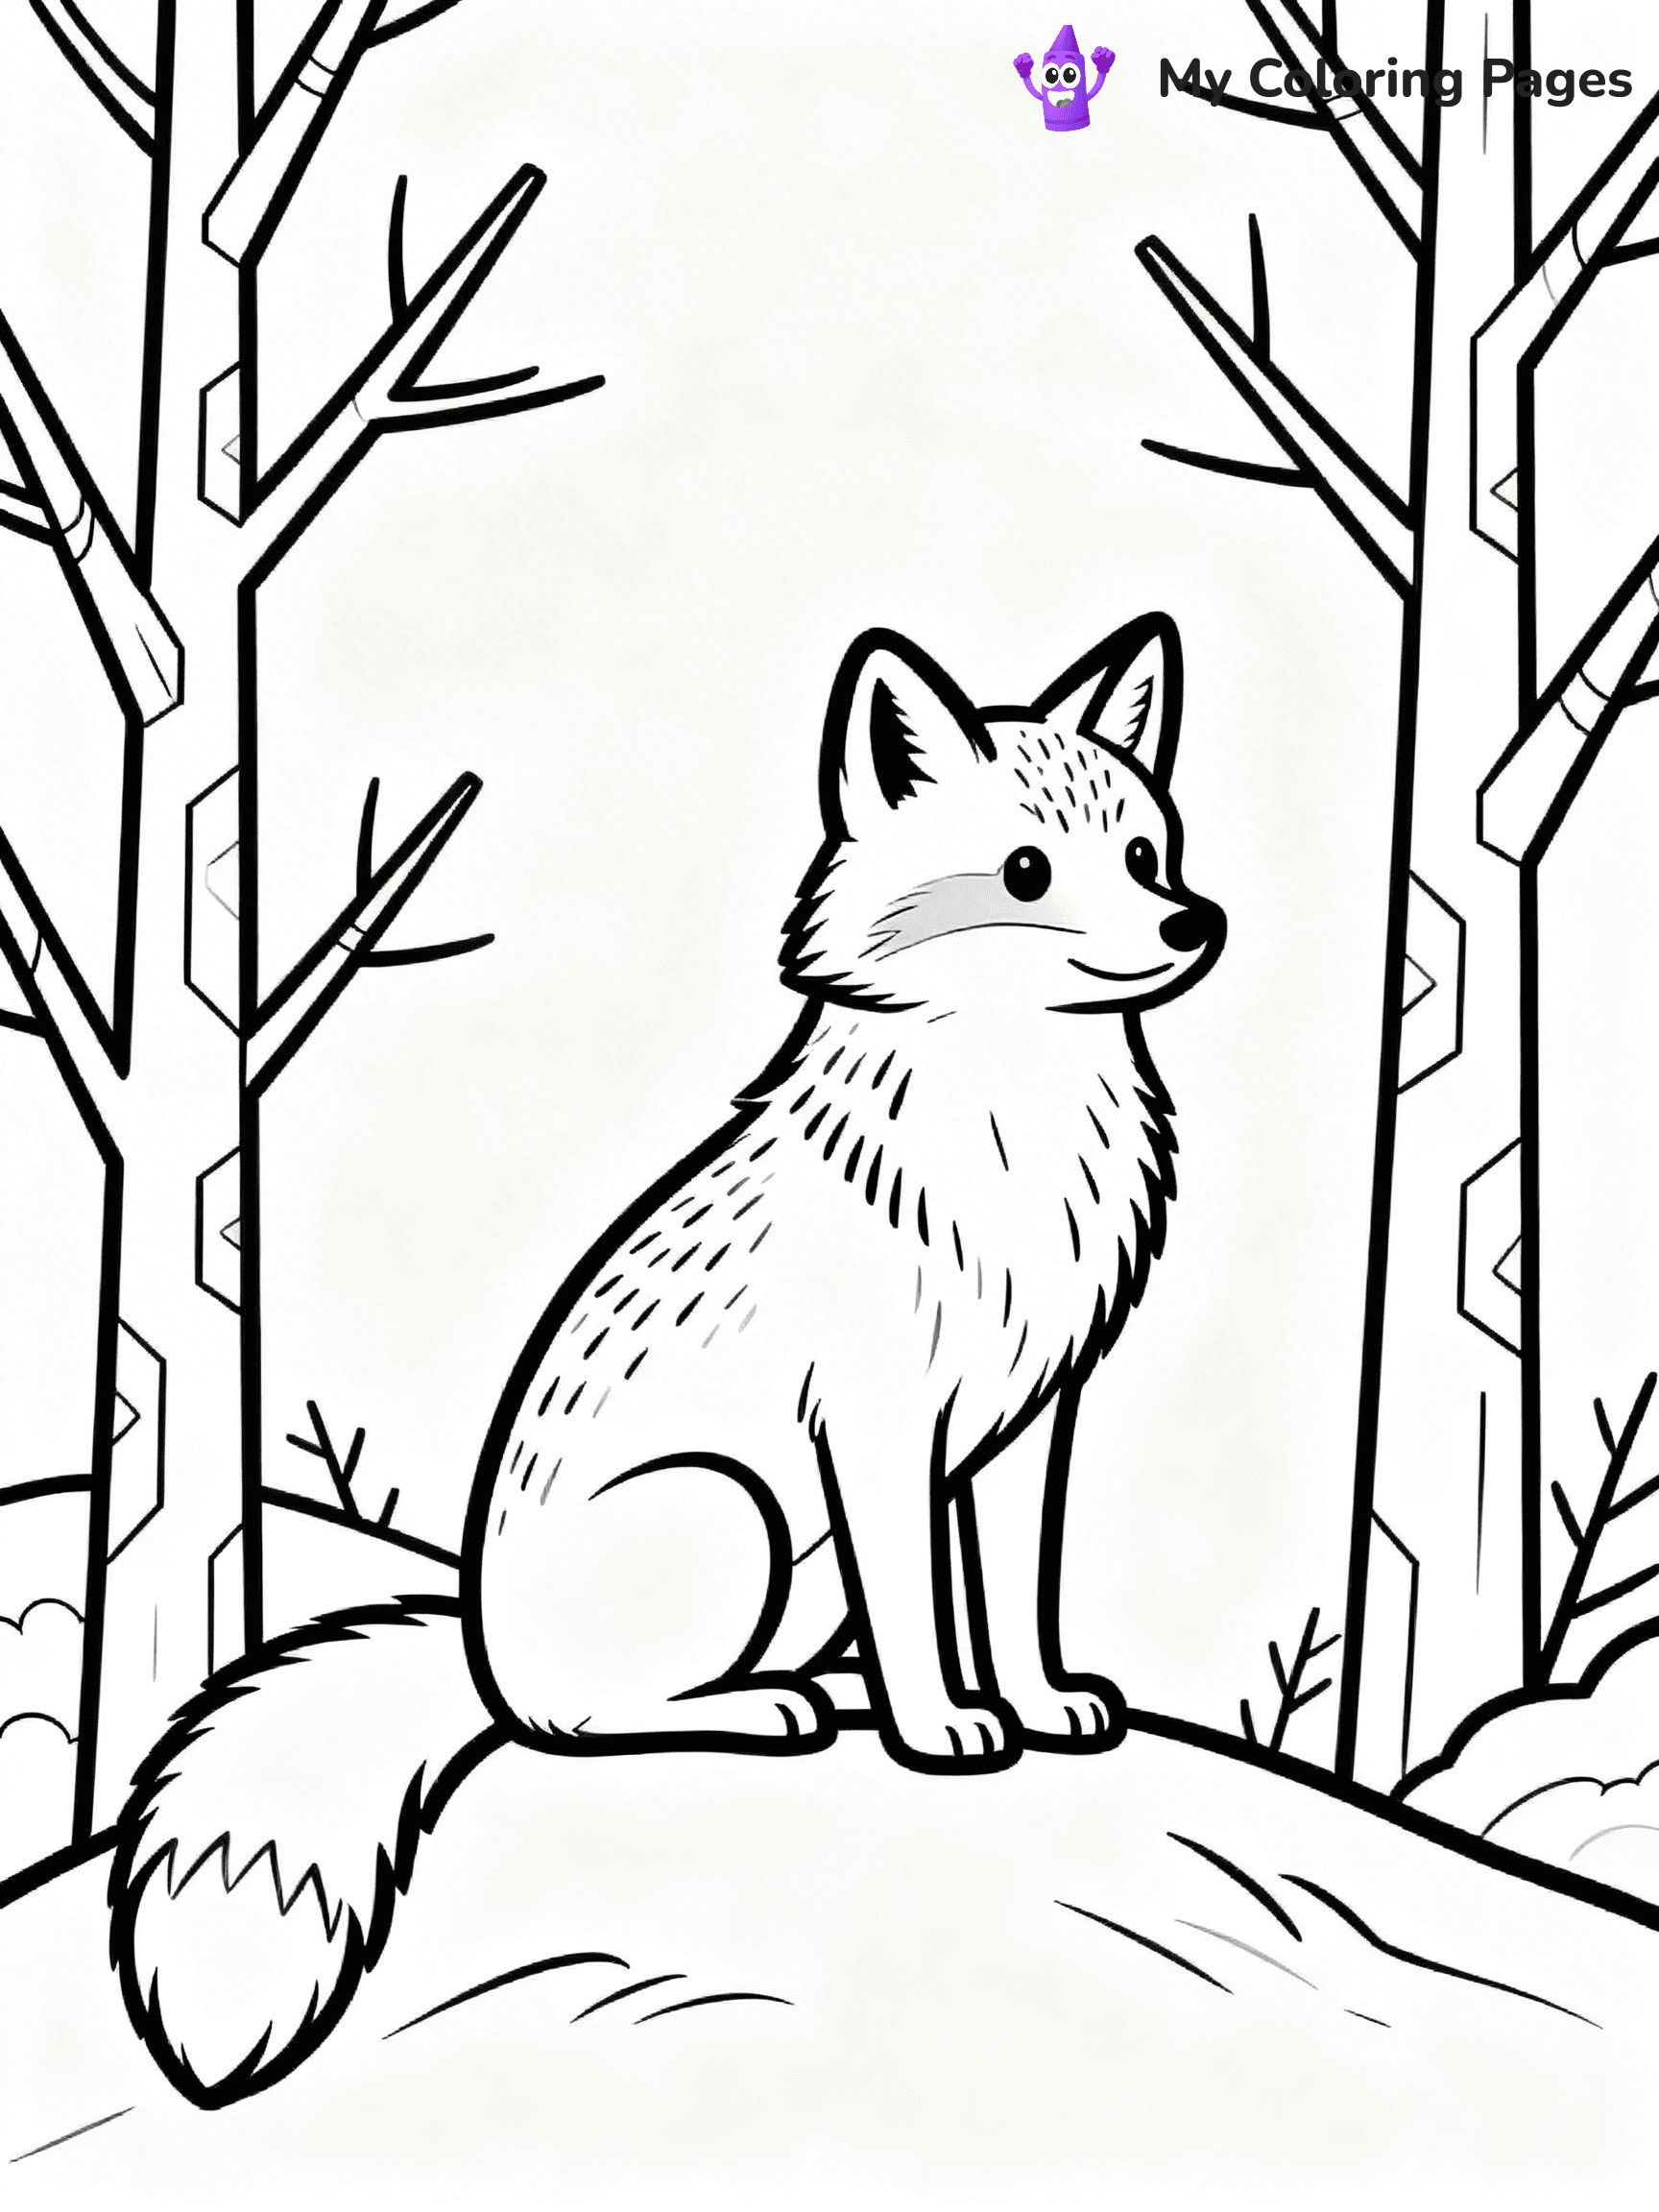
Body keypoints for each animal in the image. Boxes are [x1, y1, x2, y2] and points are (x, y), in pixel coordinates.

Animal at [109, 613, 1224, 2105]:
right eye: (1030, 873)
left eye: (1149, 856)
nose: (1195, 923)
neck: (1010, 1129)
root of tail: (476, 1646)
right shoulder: (881, 1427)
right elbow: (925, 1613)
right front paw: (943, 1727)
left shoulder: (1029, 1417)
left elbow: (1016, 1599)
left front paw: (1039, 1704)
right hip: (732, 1510)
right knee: (587, 1724)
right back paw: (777, 1711)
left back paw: (818, 1690)